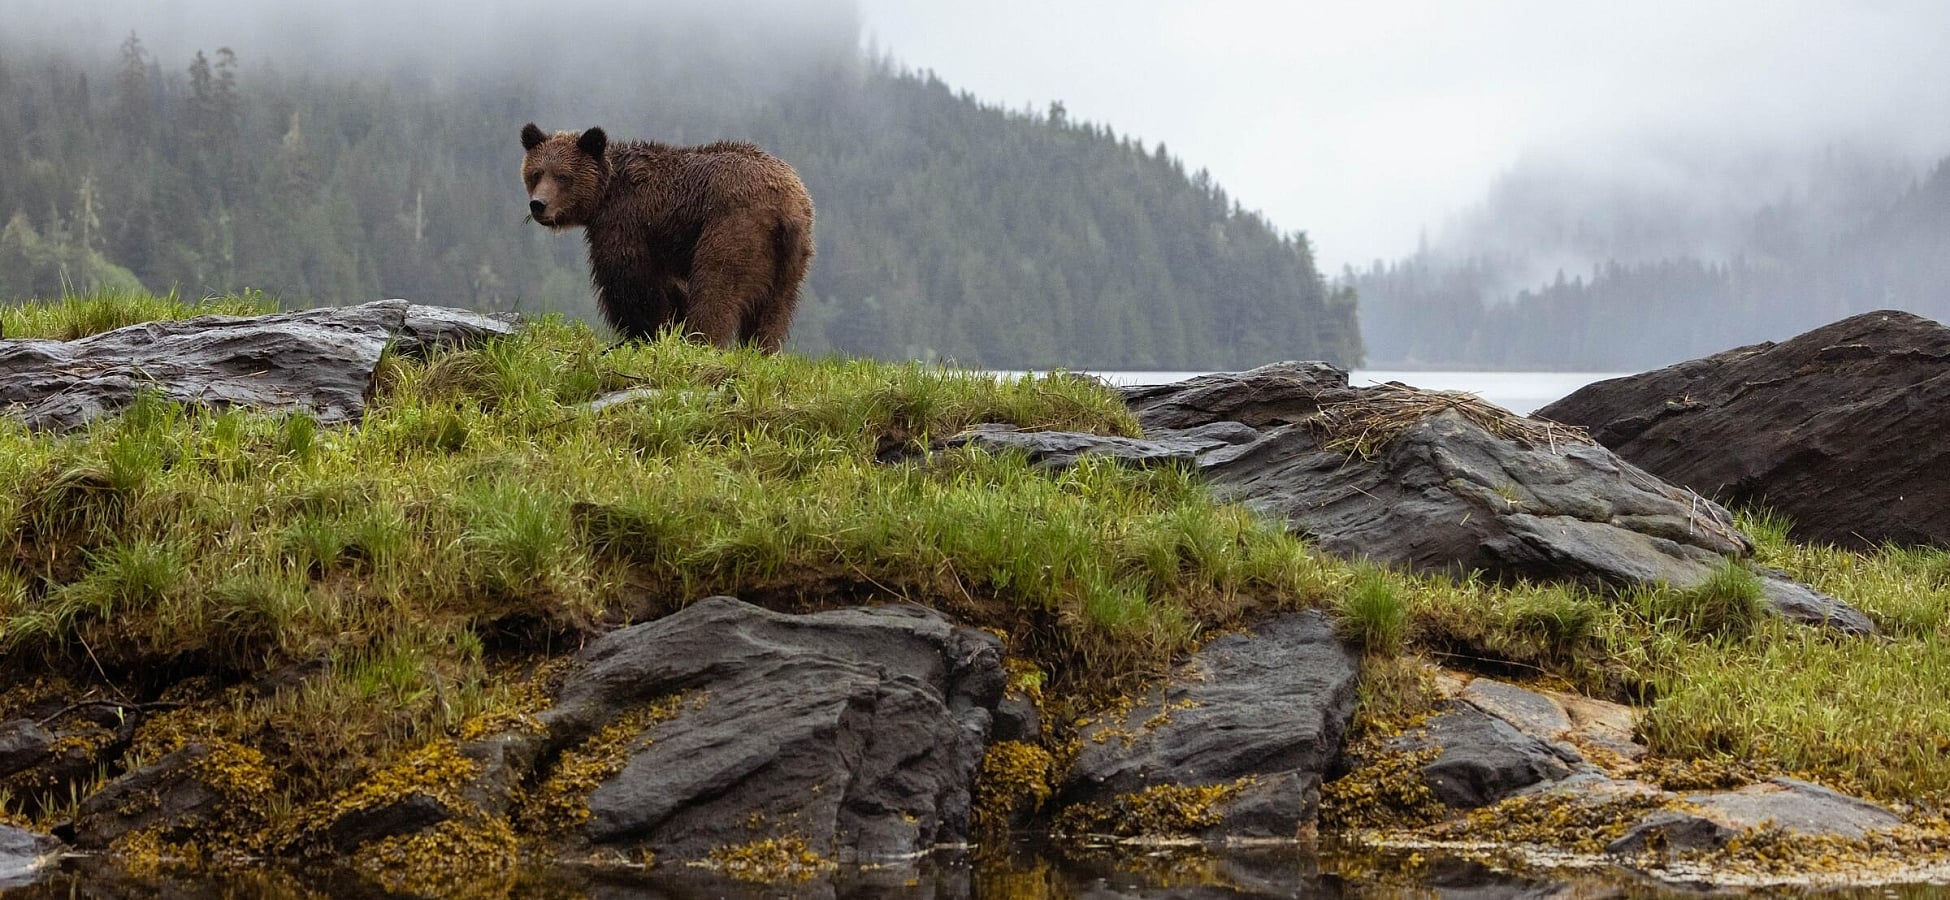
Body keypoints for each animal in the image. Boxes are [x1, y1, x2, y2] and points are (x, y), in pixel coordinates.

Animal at [520, 123, 815, 352]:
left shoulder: (627, 222)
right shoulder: (661, 242)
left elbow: (630, 283)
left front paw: (642, 333)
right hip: (792, 256)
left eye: (563, 176)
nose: (538, 205)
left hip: (734, 228)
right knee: (775, 309)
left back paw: (702, 342)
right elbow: (670, 287)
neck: (605, 194)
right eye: (536, 173)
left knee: (716, 288)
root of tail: (785, 207)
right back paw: (761, 349)